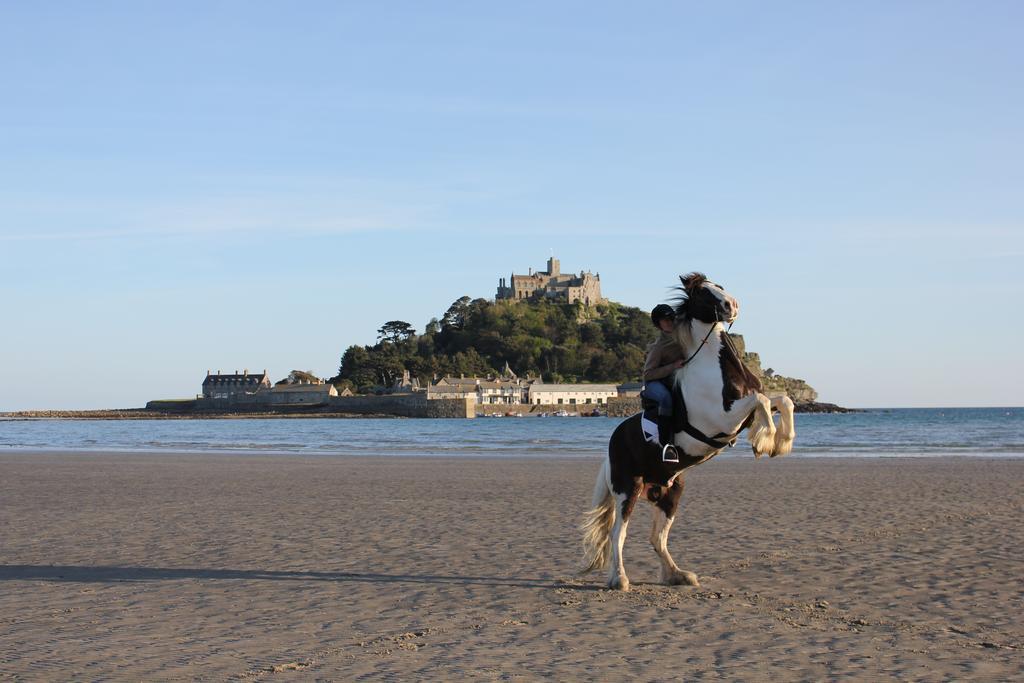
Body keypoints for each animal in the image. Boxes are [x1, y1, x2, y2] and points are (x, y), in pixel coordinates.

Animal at [581, 274, 794, 589]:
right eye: (702, 293)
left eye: (719, 285)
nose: (732, 305)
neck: (713, 366)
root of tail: (613, 444)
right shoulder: (723, 419)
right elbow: (763, 400)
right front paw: (765, 442)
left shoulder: (742, 414)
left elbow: (782, 400)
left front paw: (781, 443)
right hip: (628, 489)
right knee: (618, 533)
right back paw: (619, 579)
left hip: (670, 492)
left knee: (657, 538)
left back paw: (678, 575)